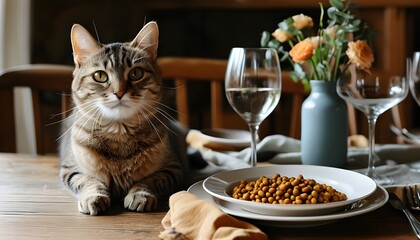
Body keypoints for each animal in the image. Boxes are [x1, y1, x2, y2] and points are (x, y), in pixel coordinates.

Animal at [59, 21, 185, 216]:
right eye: (100, 76)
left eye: (135, 73)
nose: (119, 92)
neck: (119, 134)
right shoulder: (70, 169)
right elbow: (88, 181)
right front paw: (93, 197)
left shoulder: (172, 169)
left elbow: (149, 180)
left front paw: (140, 194)